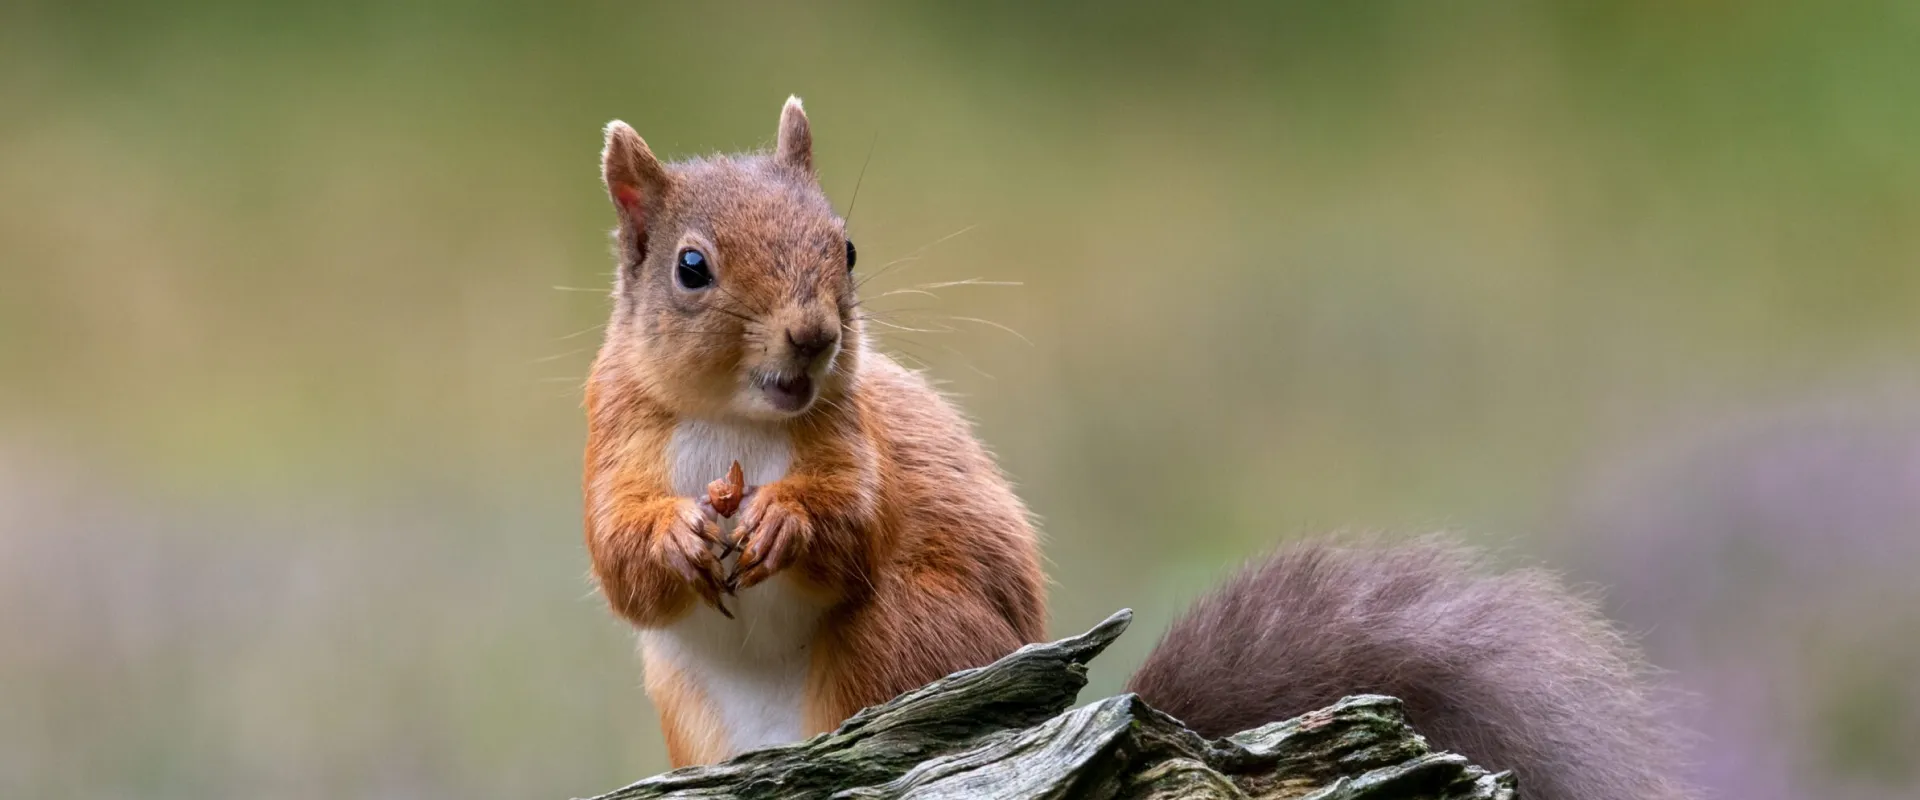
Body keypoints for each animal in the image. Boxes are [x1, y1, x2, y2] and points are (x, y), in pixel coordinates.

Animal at [581, 97, 1691, 800]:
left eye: (845, 247)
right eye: (691, 267)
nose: (813, 338)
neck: (741, 422)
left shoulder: (858, 441)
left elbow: (853, 524)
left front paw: (785, 521)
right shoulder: (611, 434)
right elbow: (620, 562)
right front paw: (675, 538)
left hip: (899, 634)